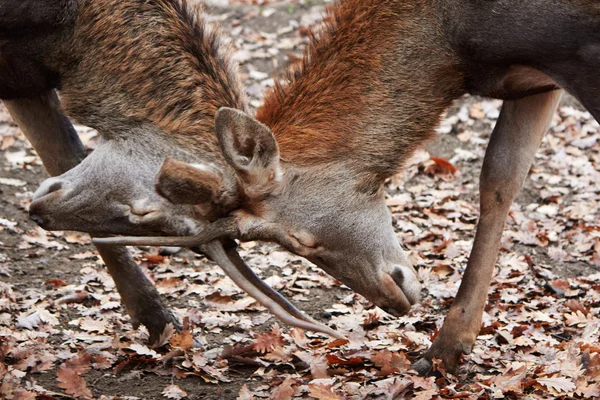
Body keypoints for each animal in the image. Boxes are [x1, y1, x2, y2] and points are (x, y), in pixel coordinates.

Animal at [97, 0, 600, 374]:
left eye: (300, 239)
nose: (392, 301)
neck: (458, 42)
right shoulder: (535, 79)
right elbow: (499, 177)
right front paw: (448, 348)